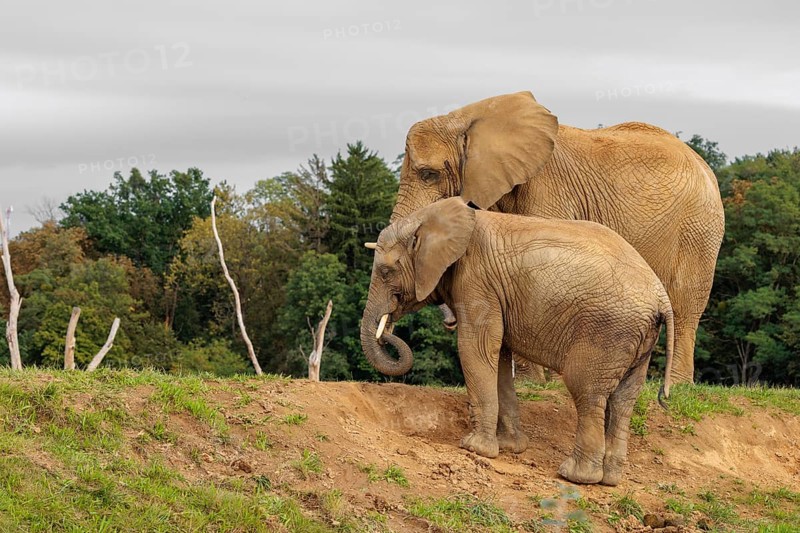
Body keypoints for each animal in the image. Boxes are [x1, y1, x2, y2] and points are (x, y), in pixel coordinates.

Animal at [360, 197, 674, 486]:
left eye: (386, 272)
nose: (390, 330)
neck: (432, 218)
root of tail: (661, 298)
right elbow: (498, 356)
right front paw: (511, 448)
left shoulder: (477, 280)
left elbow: (475, 348)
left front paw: (474, 448)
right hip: (637, 339)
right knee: (624, 399)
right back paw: (610, 479)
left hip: (607, 331)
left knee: (588, 393)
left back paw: (575, 476)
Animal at [388, 91, 723, 384]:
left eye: (428, 174)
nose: (449, 321)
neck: (467, 117)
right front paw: (533, 384)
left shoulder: (548, 188)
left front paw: (540, 384)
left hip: (700, 229)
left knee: (685, 304)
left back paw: (677, 386)